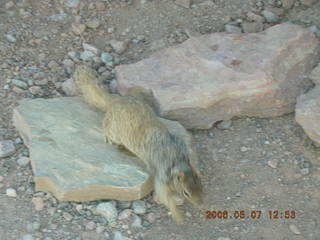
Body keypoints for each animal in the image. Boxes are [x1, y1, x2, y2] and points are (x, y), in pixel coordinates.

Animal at [73, 64, 202, 223]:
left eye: (202, 187)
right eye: (186, 193)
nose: (201, 204)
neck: (180, 161)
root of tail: (116, 101)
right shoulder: (161, 174)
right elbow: (164, 195)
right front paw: (178, 215)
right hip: (114, 130)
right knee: (106, 126)